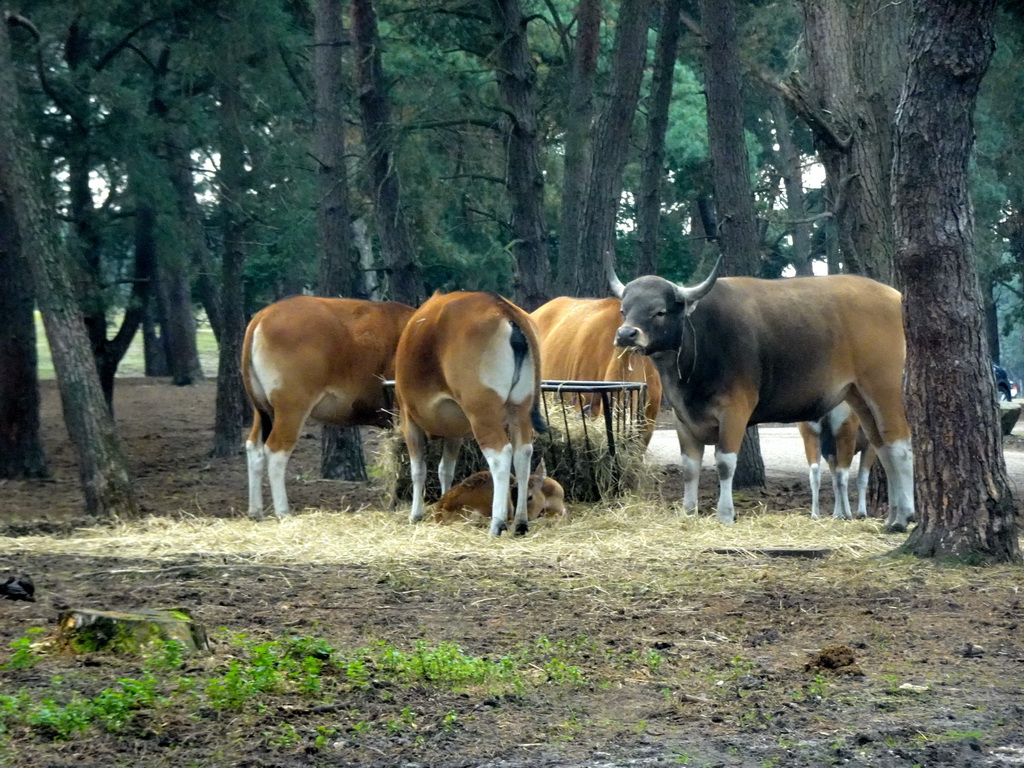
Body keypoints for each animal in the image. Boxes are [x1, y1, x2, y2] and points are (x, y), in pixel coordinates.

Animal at [241, 296, 413, 520]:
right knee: (276, 450)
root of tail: (262, 315)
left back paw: (255, 511)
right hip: (291, 407)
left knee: (254, 447)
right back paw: (283, 511)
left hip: (261, 409)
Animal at [395, 290, 548, 536]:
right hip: (520, 410)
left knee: (501, 455)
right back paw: (520, 522)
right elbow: (446, 469)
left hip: (482, 414)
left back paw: (497, 523)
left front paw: (416, 514)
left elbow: (418, 469)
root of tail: (502, 307)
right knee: (522, 453)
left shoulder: (409, 420)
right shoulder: (455, 430)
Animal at [606, 259, 913, 536]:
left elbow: (724, 463)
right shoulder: (683, 419)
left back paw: (903, 517)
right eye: (624, 309)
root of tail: (894, 297)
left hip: (885, 387)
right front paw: (689, 511)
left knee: (899, 446)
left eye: (659, 311)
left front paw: (725, 513)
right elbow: (690, 468)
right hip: (858, 395)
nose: (626, 334)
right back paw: (893, 516)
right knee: (883, 446)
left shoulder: (735, 410)